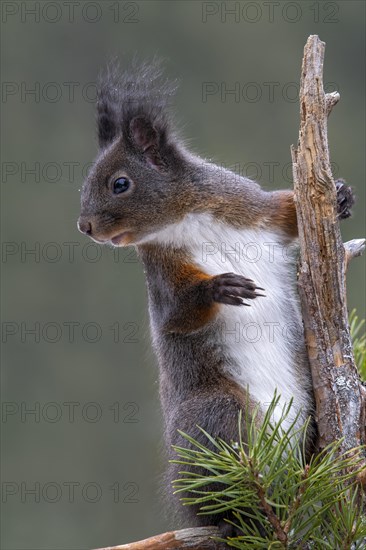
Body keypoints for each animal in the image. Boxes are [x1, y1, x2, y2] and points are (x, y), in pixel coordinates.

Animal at [77, 61, 354, 540]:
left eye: (120, 184)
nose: (84, 226)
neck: (187, 216)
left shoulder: (251, 206)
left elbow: (288, 213)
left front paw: (338, 196)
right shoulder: (162, 277)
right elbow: (177, 315)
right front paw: (219, 288)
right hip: (217, 413)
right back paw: (242, 517)